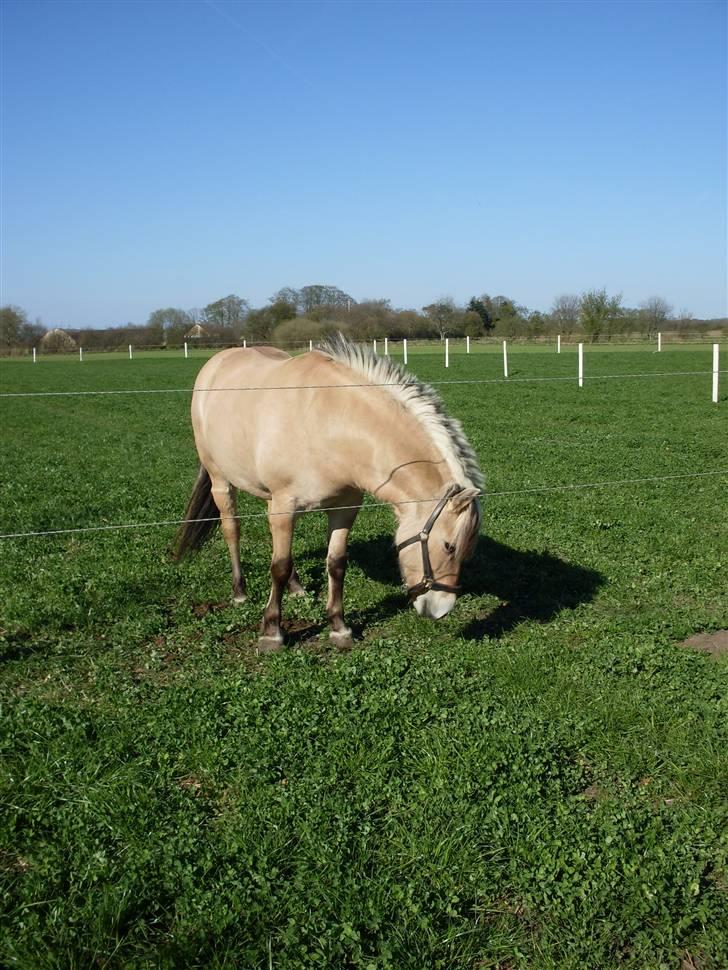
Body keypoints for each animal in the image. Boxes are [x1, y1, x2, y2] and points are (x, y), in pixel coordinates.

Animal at [173, 332, 484, 652]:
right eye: (449, 546)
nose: (440, 609)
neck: (329, 423)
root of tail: (216, 363)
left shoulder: (343, 508)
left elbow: (335, 563)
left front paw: (338, 627)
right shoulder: (284, 506)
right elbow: (278, 566)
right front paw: (271, 631)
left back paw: (296, 587)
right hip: (221, 481)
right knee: (232, 530)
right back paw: (239, 591)